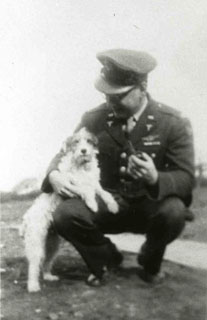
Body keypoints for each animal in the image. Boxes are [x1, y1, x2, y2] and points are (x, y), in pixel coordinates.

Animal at [21, 127, 119, 292]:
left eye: (88, 141)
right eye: (76, 142)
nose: (84, 151)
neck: (82, 166)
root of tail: (27, 218)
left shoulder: (95, 184)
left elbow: (104, 193)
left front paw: (113, 206)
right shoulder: (71, 184)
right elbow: (86, 191)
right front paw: (92, 204)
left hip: (52, 243)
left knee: (46, 261)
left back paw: (48, 276)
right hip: (36, 241)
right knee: (34, 264)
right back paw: (33, 285)